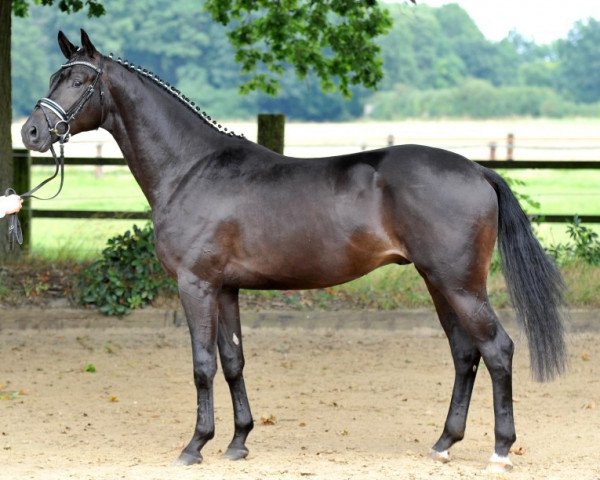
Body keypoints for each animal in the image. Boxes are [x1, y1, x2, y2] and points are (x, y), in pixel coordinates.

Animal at [19, 31, 568, 472]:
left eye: (79, 82)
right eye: (54, 76)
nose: (31, 132)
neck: (192, 168)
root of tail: (476, 170)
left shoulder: (195, 284)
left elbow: (202, 364)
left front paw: (195, 445)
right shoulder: (225, 289)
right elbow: (233, 360)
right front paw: (238, 442)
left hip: (460, 284)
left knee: (497, 350)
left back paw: (500, 450)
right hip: (439, 283)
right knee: (464, 354)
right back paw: (444, 443)